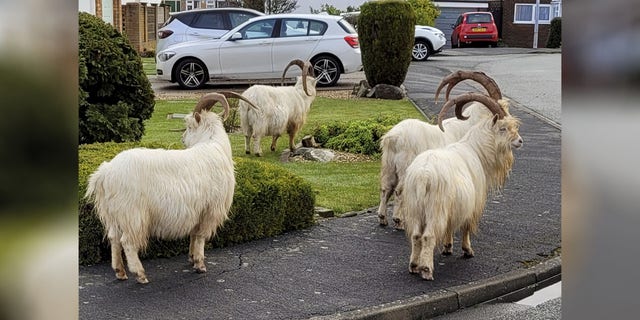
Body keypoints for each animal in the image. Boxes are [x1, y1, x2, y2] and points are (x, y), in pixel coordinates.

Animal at [84, 94, 235, 284]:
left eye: (189, 126)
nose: (183, 139)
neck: (214, 146)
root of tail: (106, 172)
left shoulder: (197, 211)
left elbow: (193, 235)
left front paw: (192, 258)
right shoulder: (209, 210)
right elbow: (200, 237)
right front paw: (200, 265)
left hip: (115, 214)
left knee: (114, 238)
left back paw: (120, 272)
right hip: (133, 214)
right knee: (127, 242)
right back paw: (140, 274)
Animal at [376, 71, 510, 229]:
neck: (470, 127)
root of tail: (393, 137)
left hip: (389, 167)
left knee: (386, 188)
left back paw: (383, 218)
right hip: (405, 168)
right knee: (399, 191)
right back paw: (398, 221)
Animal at [402, 85, 524, 280]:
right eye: (503, 128)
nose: (520, 141)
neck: (475, 149)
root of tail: (423, 175)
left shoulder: (454, 209)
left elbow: (450, 227)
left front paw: (447, 247)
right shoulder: (473, 204)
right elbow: (466, 226)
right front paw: (467, 251)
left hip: (415, 209)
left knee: (415, 235)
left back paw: (414, 265)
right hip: (435, 210)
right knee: (428, 236)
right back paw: (426, 269)